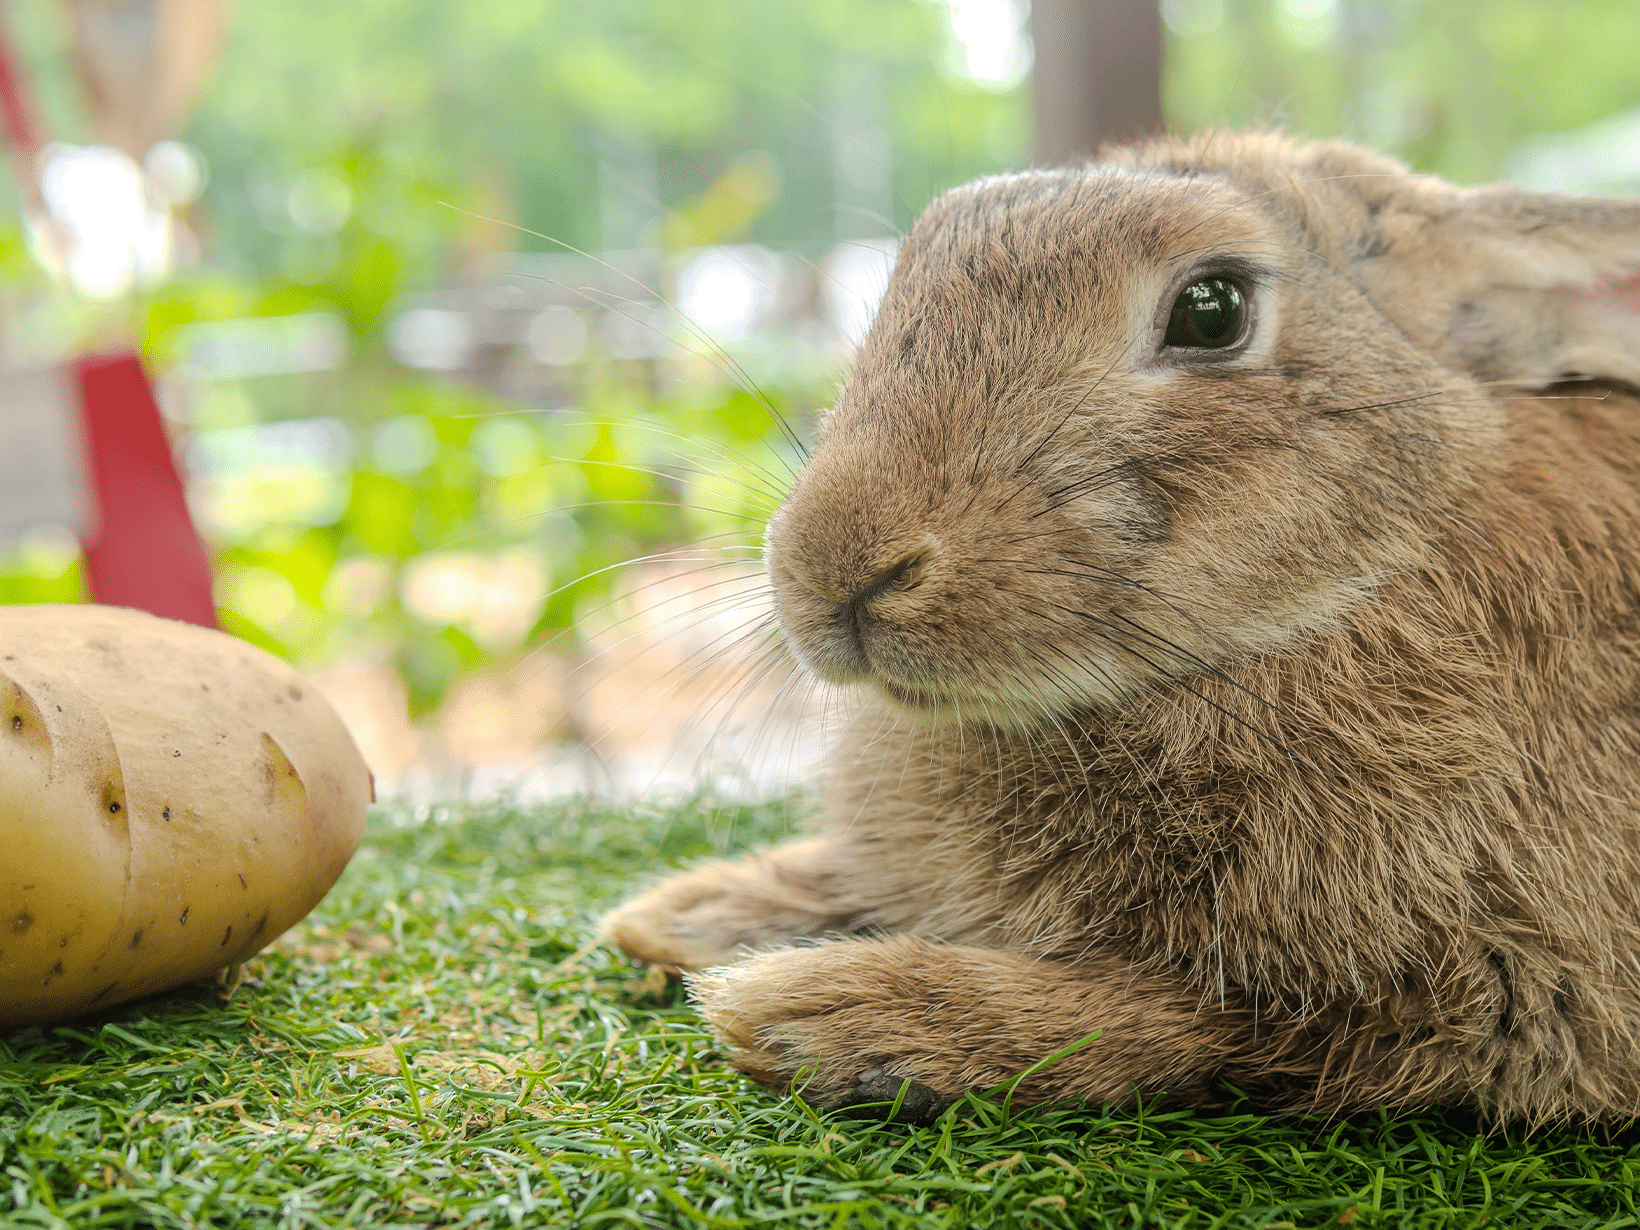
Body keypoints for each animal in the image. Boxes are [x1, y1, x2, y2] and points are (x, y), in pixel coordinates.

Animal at [603, 132, 1640, 1128]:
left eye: (1212, 311)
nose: (836, 568)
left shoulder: (1487, 998)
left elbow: (1187, 1028)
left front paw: (824, 1011)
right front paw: (688, 912)